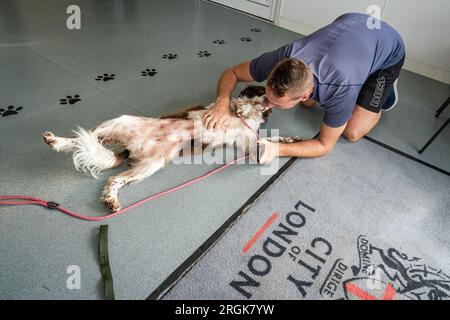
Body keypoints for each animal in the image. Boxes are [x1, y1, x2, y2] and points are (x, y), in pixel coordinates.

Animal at [42, 85, 294, 212]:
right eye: (259, 90)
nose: (267, 99)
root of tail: (133, 146)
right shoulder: (220, 108)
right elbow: (236, 103)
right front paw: (245, 107)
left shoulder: (248, 142)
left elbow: (267, 142)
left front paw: (287, 140)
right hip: (119, 122)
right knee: (83, 138)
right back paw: (56, 141)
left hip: (149, 165)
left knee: (114, 178)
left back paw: (111, 199)